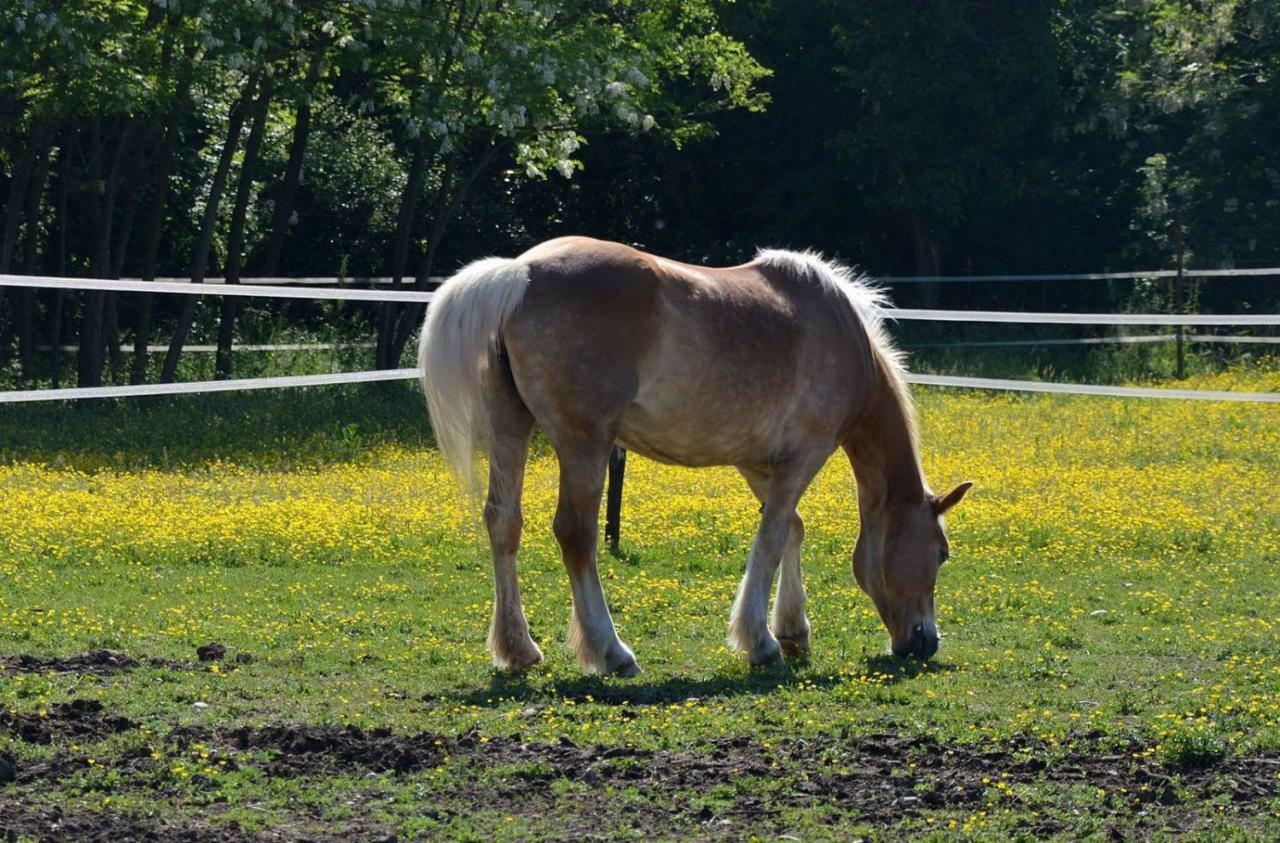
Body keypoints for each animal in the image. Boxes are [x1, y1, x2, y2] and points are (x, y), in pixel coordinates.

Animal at [419, 237, 967, 680]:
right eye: (941, 553)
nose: (926, 643)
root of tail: (521, 272)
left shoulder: (758, 462)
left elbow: (791, 529)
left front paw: (792, 631)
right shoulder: (804, 456)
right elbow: (771, 537)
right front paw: (761, 642)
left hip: (510, 428)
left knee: (503, 524)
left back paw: (518, 650)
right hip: (584, 444)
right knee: (576, 534)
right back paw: (611, 652)